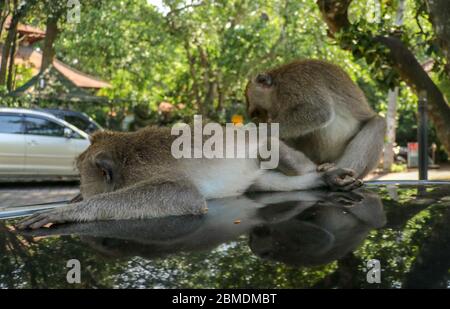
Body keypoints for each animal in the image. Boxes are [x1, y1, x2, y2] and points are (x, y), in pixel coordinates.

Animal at [17, 125, 362, 229]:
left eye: (80, 174)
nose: (78, 187)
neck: (124, 159)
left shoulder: (145, 172)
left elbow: (184, 193)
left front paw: (69, 210)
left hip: (268, 147)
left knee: (271, 149)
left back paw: (325, 172)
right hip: (257, 177)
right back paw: (321, 181)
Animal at [244, 59, 384, 189]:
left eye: (257, 112)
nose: (264, 120)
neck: (277, 86)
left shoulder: (295, 84)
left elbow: (318, 111)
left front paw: (254, 131)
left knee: (378, 122)